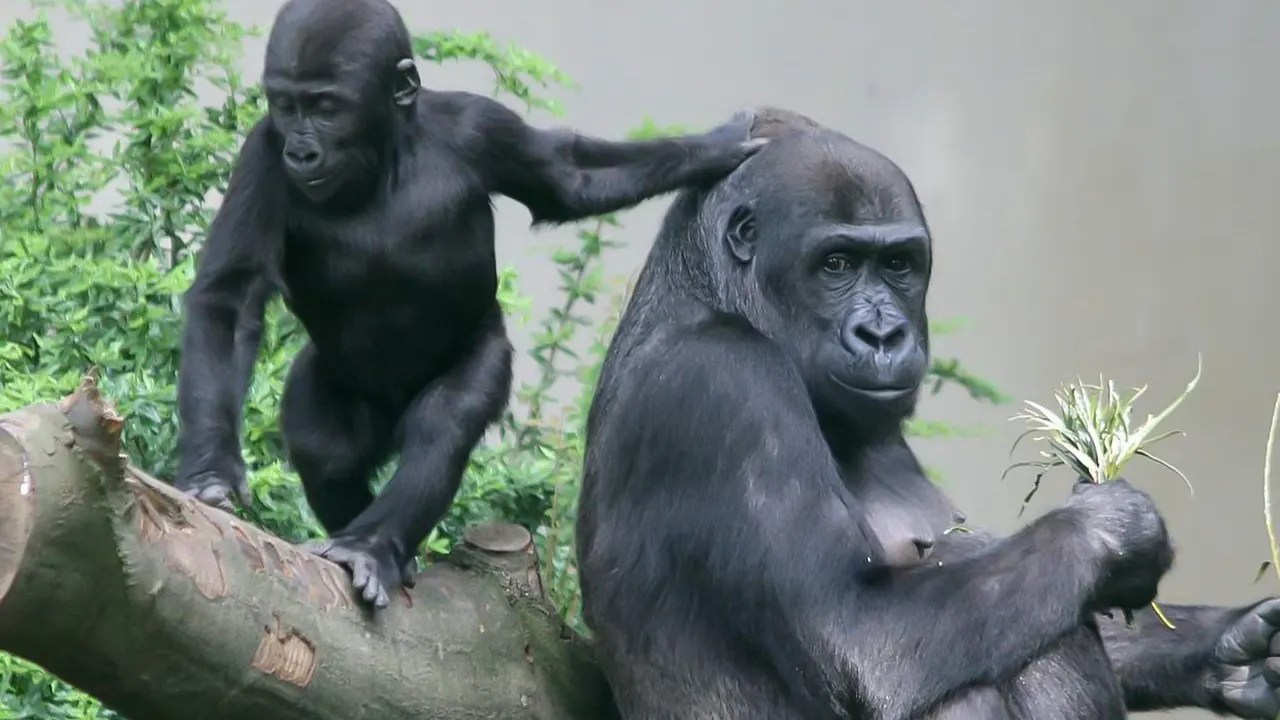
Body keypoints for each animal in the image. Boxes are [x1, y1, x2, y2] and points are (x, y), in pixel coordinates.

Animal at [175, 0, 762, 607]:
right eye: (287, 106)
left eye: (327, 107)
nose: (302, 148)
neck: (387, 150)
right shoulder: (262, 154)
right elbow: (232, 294)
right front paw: (212, 466)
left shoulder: (481, 125)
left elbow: (569, 179)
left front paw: (712, 147)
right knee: (328, 451)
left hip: (480, 346)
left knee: (444, 424)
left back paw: (374, 546)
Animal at [578, 107, 1280, 717]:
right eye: (835, 264)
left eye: (899, 265)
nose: (884, 334)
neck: (710, 292)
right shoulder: (725, 384)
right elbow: (859, 636)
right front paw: (1115, 530)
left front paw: (1231, 650)